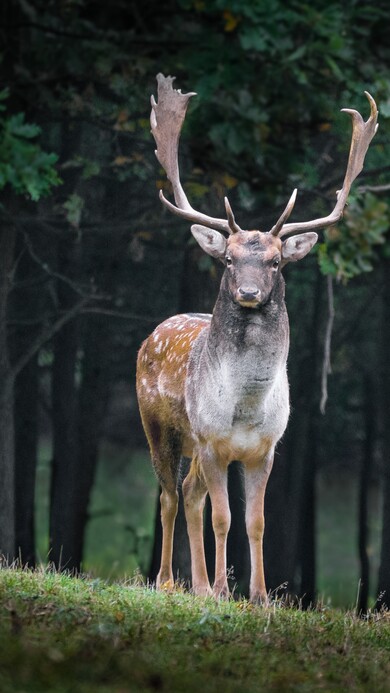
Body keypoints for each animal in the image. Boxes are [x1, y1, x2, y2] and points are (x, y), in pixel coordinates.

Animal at [137, 75, 378, 604]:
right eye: (228, 259)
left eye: (275, 261)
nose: (248, 292)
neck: (245, 407)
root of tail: (153, 334)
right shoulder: (211, 441)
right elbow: (223, 518)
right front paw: (223, 590)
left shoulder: (265, 449)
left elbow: (256, 521)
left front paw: (260, 595)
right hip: (159, 426)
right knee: (168, 495)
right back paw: (169, 581)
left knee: (189, 494)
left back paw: (197, 585)